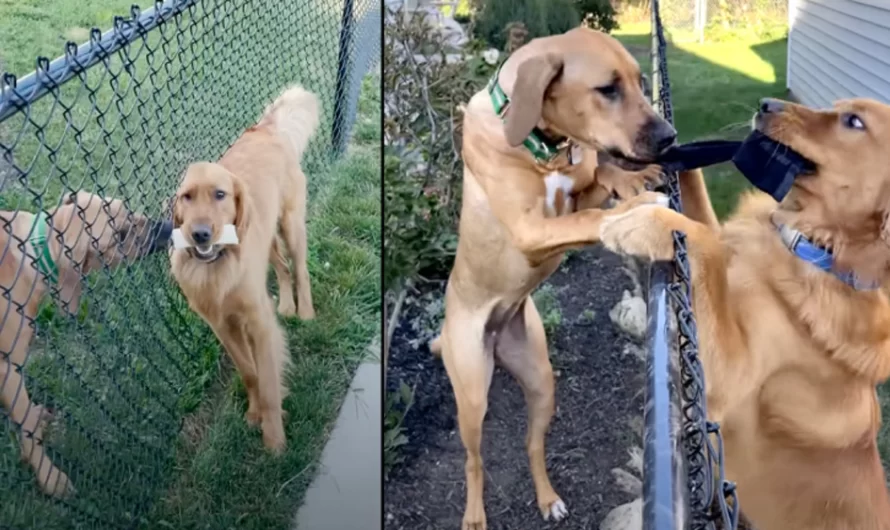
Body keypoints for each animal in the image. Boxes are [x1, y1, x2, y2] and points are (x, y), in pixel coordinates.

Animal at [0, 192, 172, 498]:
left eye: (127, 209)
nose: (169, 227)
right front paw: (49, 478)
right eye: (120, 236)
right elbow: (26, 424)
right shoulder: (6, 369)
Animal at [168, 84, 318, 452]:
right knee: (282, 267)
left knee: (301, 268)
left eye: (220, 194)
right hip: (268, 242)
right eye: (186, 197)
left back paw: (305, 312)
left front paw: (274, 440)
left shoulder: (259, 322)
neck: (217, 268)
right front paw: (253, 413)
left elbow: (267, 381)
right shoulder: (222, 326)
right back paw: (287, 305)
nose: (200, 234)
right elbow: (248, 371)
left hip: (291, 224)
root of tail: (263, 128)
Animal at [592, 97, 888, 524]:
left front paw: (643, 221)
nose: (766, 103)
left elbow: (705, 243)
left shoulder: (725, 377)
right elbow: (699, 202)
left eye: (853, 121)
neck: (809, 243)